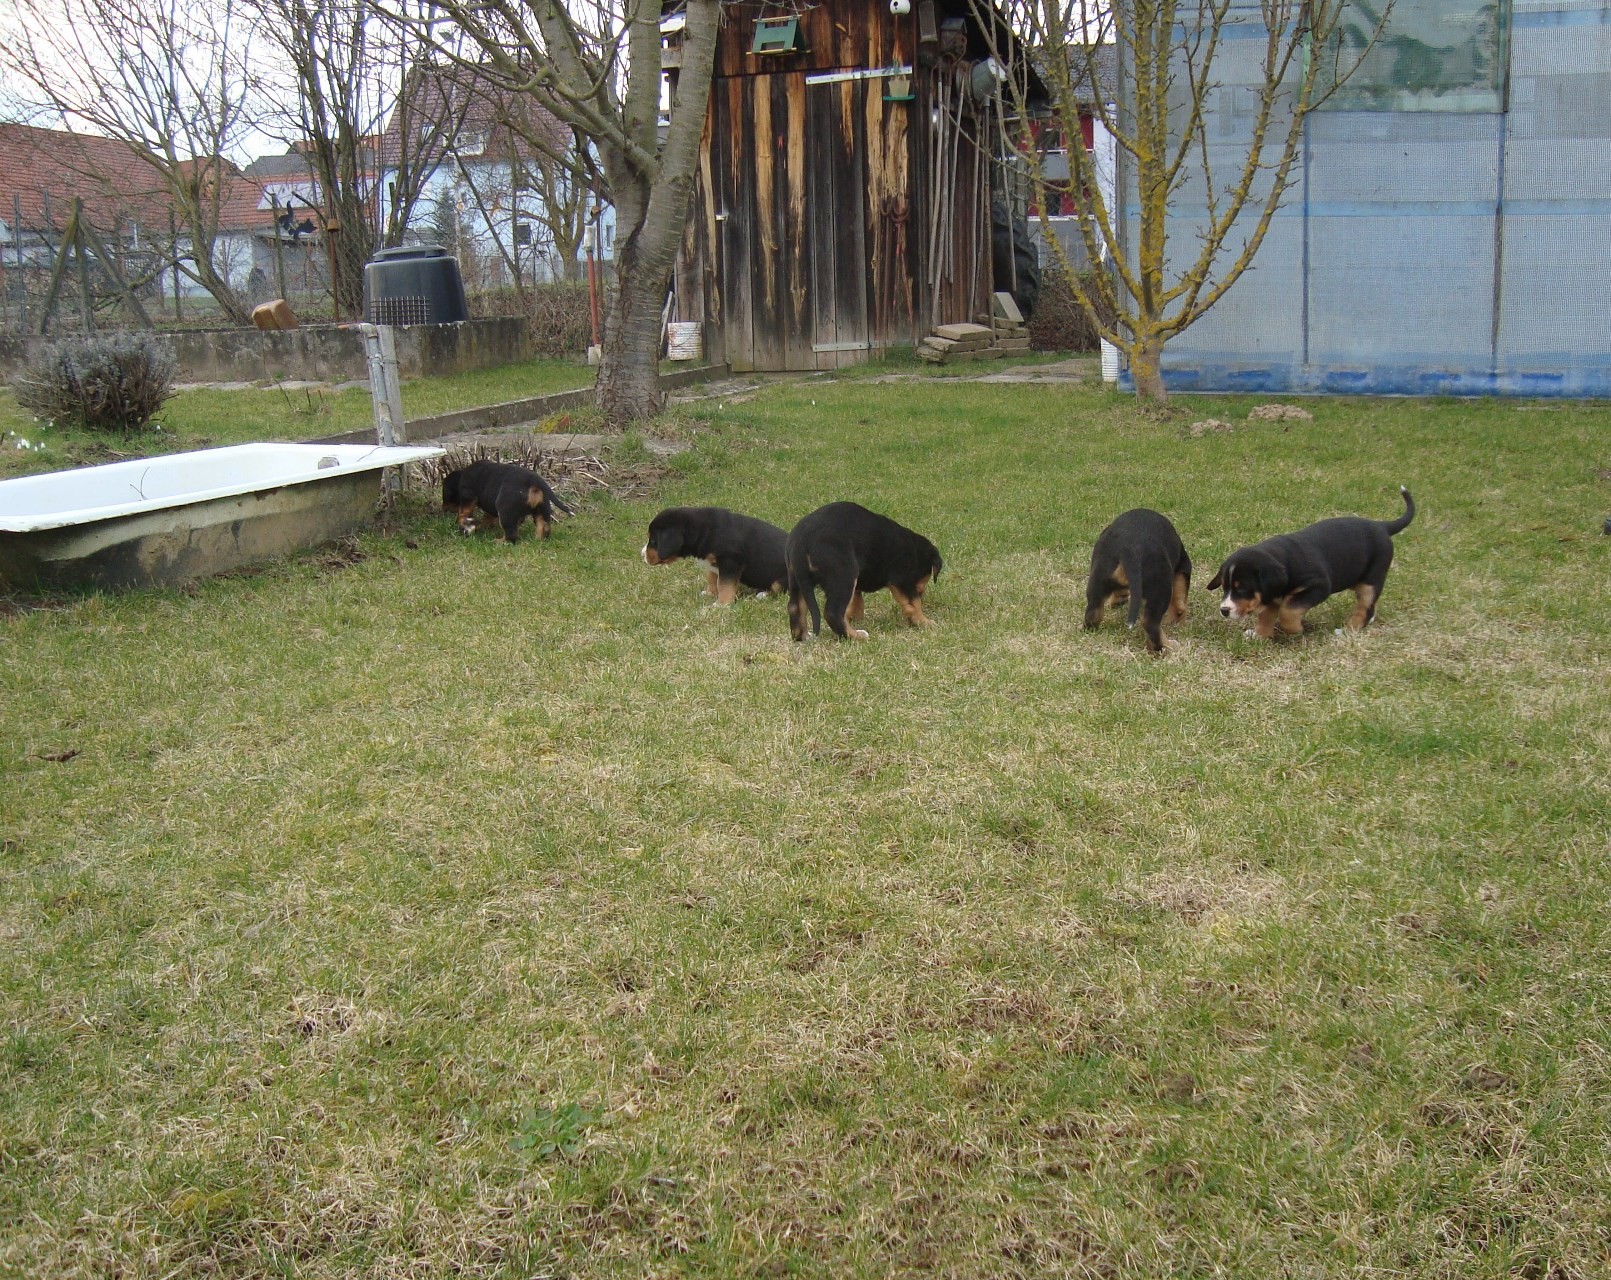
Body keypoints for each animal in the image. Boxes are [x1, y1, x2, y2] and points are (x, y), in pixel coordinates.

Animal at [441, 457, 573, 544]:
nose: (444, 509)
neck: (461, 476)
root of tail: (534, 480)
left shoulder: (468, 497)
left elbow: (463, 513)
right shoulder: (490, 509)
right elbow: (486, 519)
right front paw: (478, 526)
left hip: (505, 510)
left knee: (512, 535)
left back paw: (499, 542)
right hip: (542, 509)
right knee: (544, 527)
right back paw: (538, 540)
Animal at [641, 505, 792, 605]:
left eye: (653, 541)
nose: (641, 554)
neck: (703, 530)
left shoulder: (730, 562)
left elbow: (724, 584)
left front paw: (721, 604)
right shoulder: (713, 564)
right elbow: (712, 578)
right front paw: (710, 593)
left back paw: (764, 594)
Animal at [782, 499, 940, 640]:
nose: (922, 592)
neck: (915, 551)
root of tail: (801, 541)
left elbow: (857, 600)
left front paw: (853, 616)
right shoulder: (902, 579)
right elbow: (914, 602)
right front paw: (924, 622)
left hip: (797, 579)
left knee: (795, 607)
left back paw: (802, 637)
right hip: (843, 574)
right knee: (833, 613)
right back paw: (856, 636)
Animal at [1082, 505, 1198, 656]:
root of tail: (1131, 551)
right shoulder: (1181, 571)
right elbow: (1179, 605)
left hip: (1098, 579)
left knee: (1093, 613)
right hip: (1160, 589)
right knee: (1151, 623)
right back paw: (1163, 648)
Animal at [1205, 486, 1417, 640]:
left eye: (1242, 588)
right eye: (1224, 587)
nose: (1224, 610)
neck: (1286, 562)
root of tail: (1381, 526)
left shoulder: (1318, 586)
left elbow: (1288, 611)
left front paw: (1294, 629)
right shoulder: (1271, 597)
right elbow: (1266, 617)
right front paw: (1259, 635)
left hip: (1370, 581)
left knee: (1364, 608)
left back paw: (1347, 630)